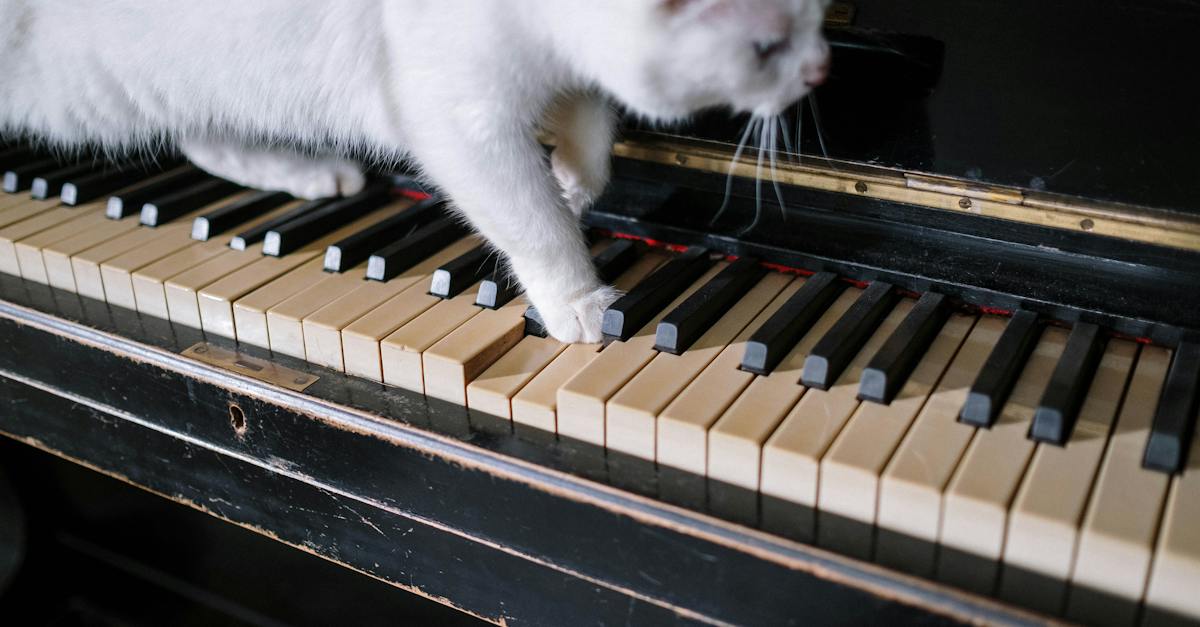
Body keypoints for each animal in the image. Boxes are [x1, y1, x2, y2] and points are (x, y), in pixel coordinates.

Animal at [0, 0, 830, 341]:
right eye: (766, 47)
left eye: (819, 15)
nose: (822, 68)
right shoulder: (464, 124)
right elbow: (535, 225)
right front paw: (584, 304)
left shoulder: (571, 81)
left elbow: (591, 136)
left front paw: (572, 183)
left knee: (202, 135)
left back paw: (310, 175)